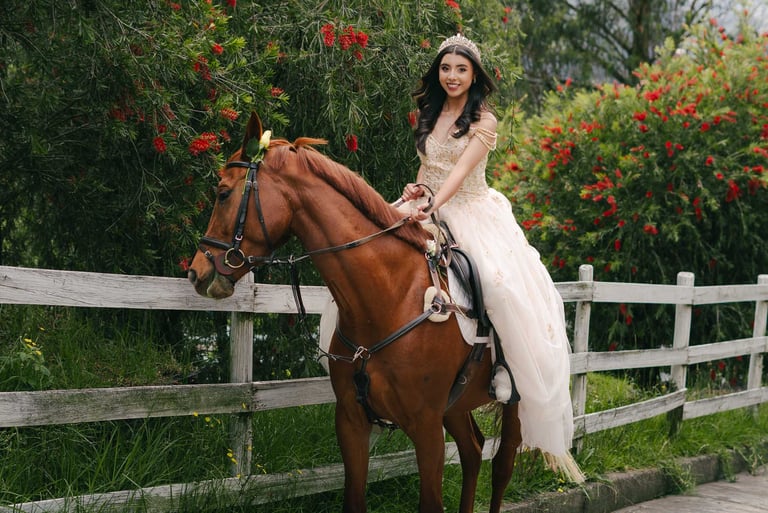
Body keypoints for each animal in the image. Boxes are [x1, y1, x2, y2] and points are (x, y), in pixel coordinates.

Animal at [188, 112, 522, 513]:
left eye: (223, 193)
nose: (197, 272)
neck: (389, 297)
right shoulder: (351, 422)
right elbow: (354, 497)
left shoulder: (426, 428)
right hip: (455, 408)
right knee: (473, 450)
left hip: (516, 403)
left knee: (502, 464)